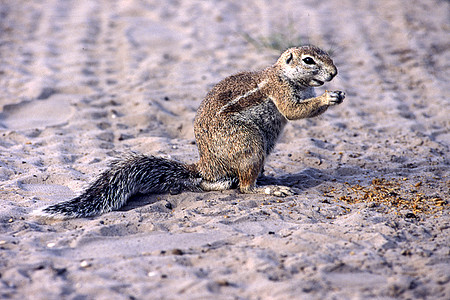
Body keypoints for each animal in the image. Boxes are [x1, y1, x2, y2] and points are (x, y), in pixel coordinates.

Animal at [36, 45, 344, 218]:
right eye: (308, 60)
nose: (334, 73)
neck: (282, 74)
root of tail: (205, 165)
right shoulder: (279, 91)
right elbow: (293, 111)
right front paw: (328, 97)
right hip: (249, 144)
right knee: (241, 186)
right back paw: (268, 188)